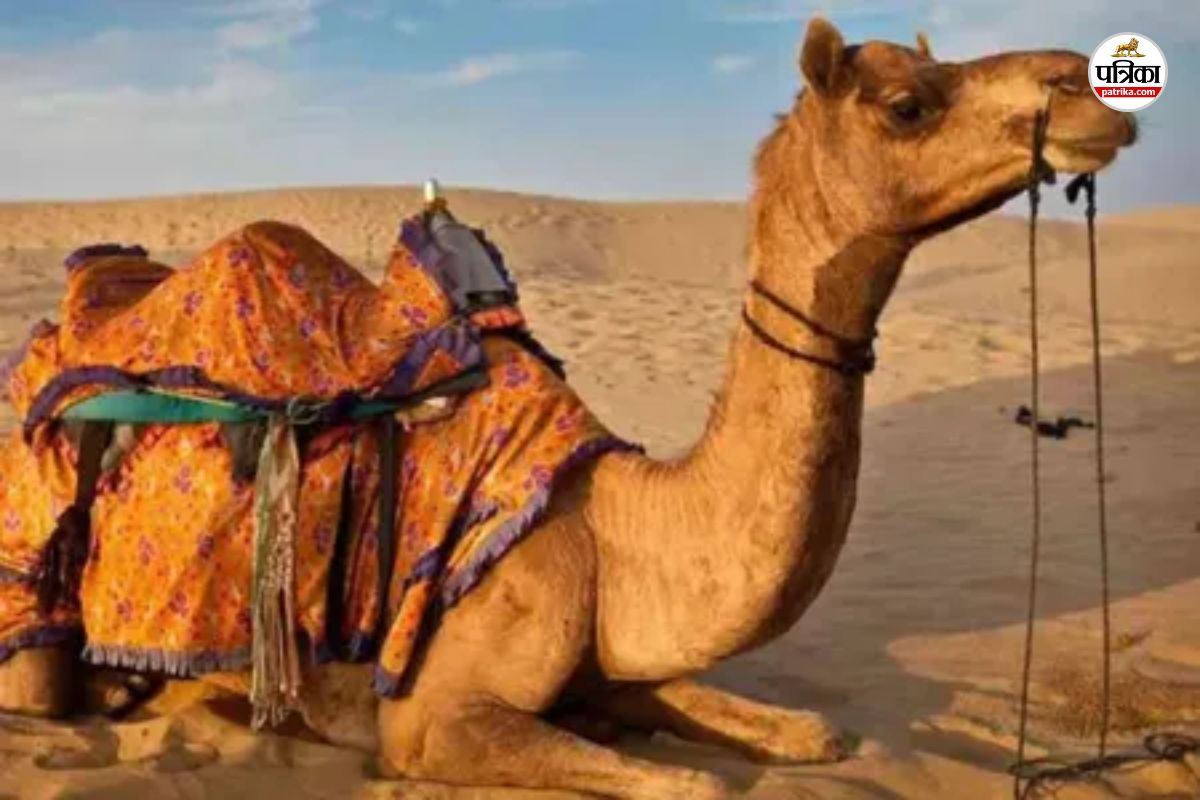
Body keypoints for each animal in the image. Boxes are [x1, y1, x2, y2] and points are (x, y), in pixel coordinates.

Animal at [0, 16, 1137, 799]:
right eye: (906, 104)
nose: (1087, 86)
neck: (612, 530)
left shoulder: (605, 665)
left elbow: (813, 734)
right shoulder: (430, 719)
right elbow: (693, 781)